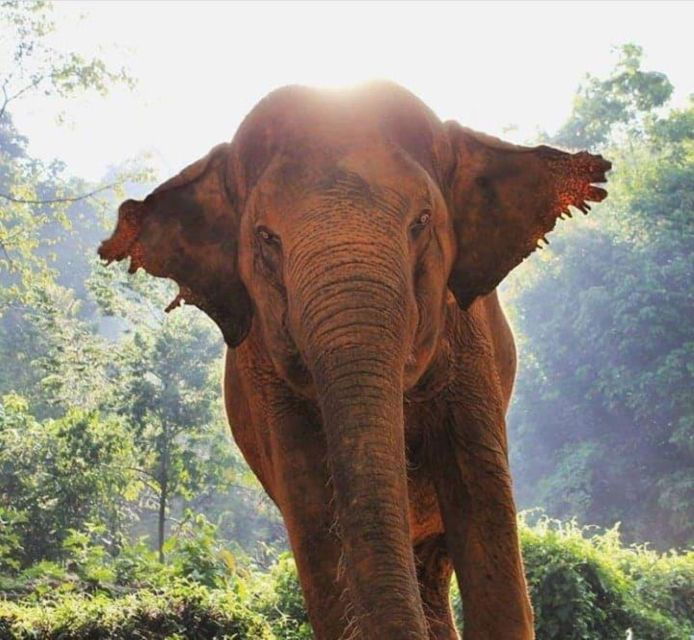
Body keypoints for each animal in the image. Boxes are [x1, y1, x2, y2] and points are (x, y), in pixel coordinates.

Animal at [99, 82, 610, 640]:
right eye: (266, 237)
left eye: (421, 222)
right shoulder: (265, 374)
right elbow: (313, 516)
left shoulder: (468, 342)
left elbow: (481, 502)